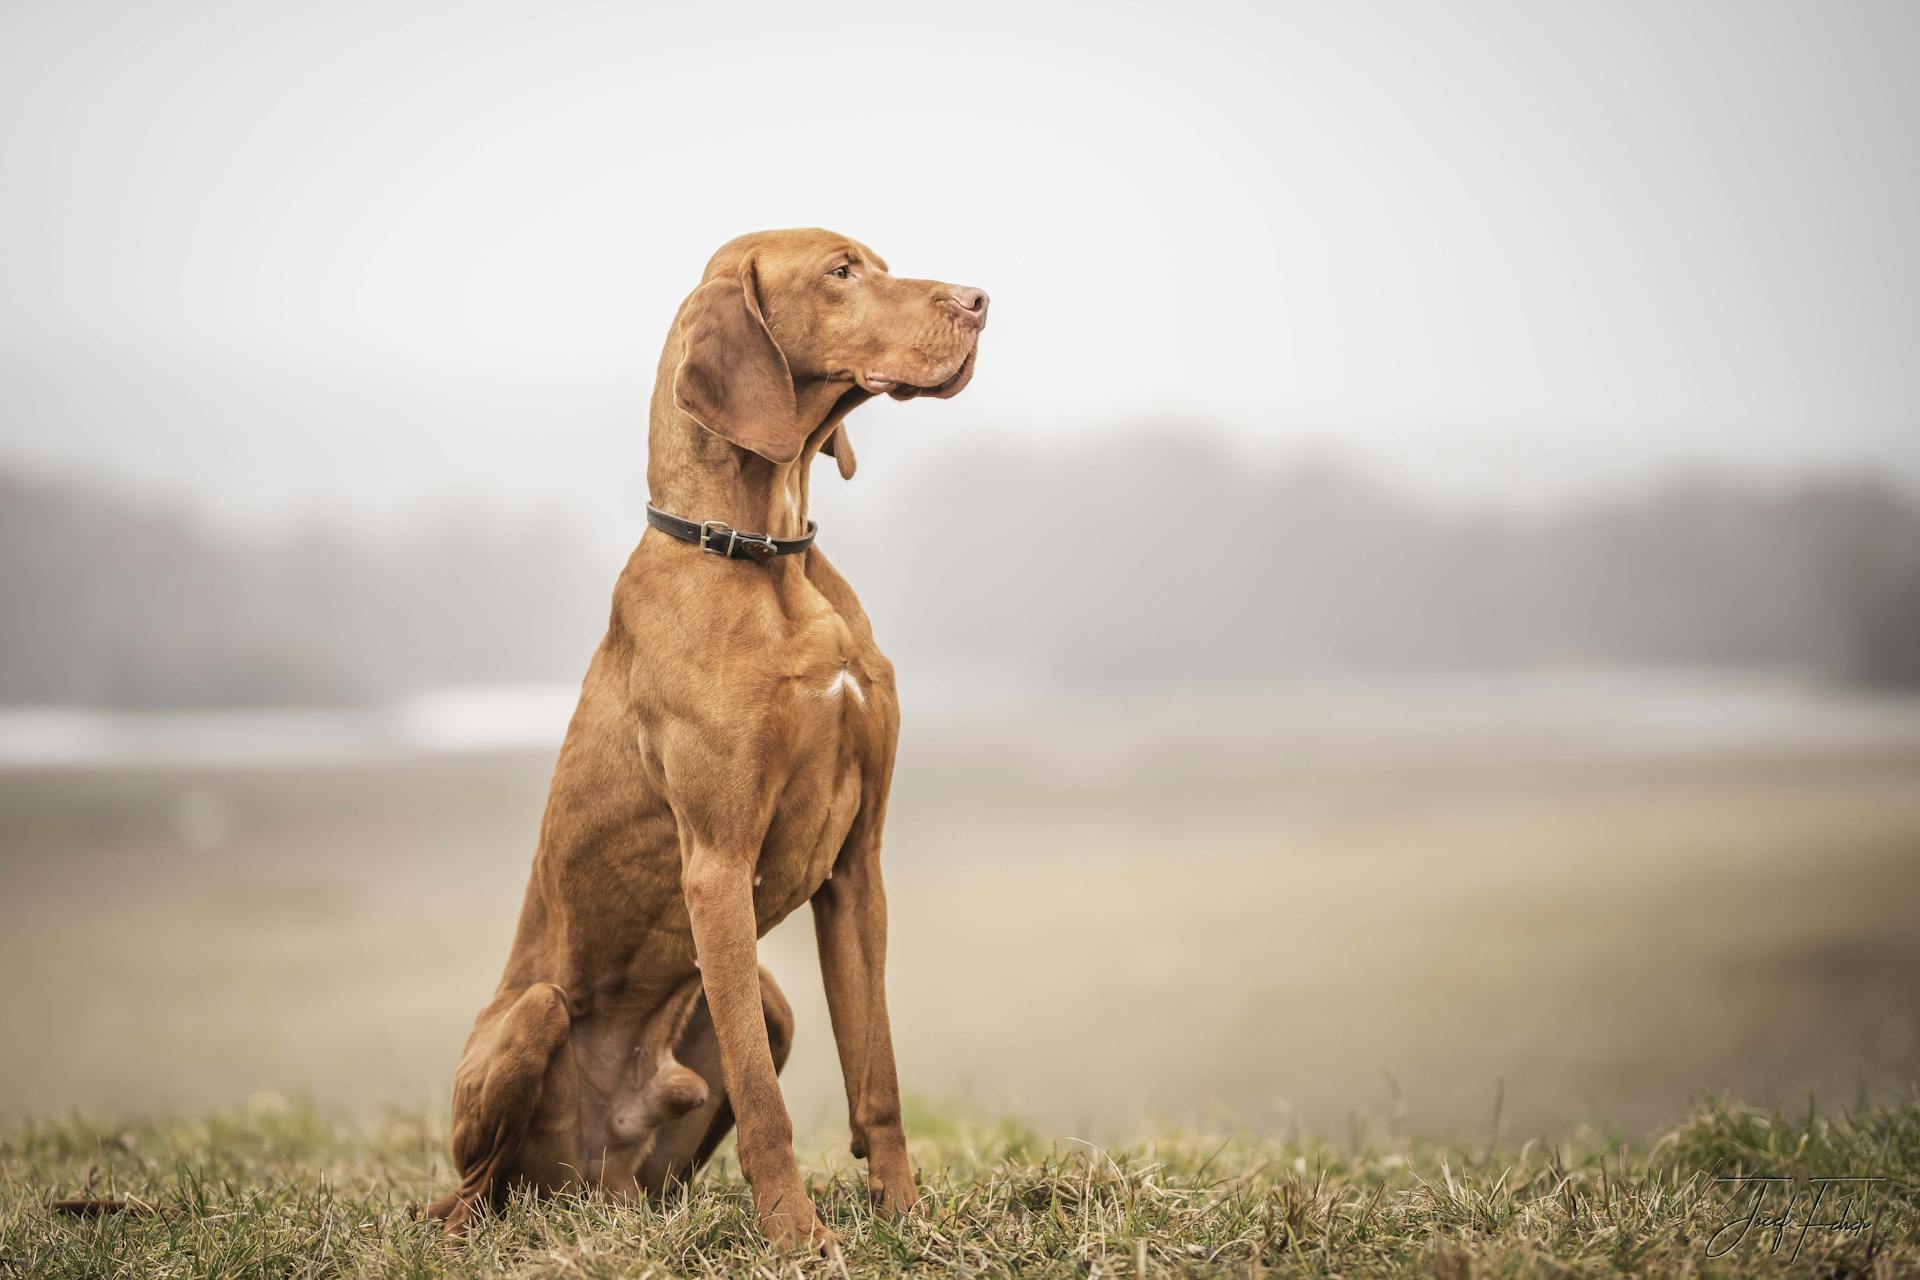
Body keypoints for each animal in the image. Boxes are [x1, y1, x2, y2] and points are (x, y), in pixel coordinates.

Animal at [424, 227, 990, 1251]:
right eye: (841, 272)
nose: (980, 301)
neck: (767, 555)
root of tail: (590, 1179)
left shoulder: (858, 866)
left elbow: (877, 1074)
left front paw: (905, 1215)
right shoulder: (716, 864)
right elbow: (767, 1106)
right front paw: (801, 1239)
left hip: (767, 1003)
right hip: (531, 1019)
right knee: (474, 1189)